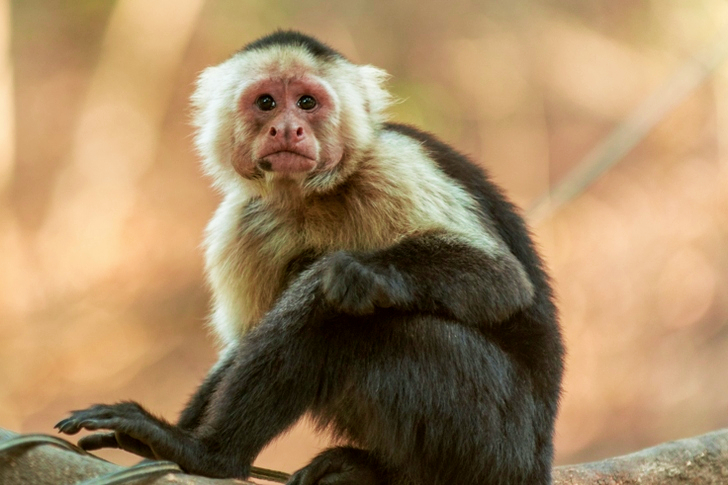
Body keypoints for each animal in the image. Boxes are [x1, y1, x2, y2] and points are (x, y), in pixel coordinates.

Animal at [56, 31, 564, 485]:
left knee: (366, 317)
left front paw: (362, 272)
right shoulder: (242, 221)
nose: (287, 128)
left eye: (306, 103)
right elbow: (242, 342)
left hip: (501, 444)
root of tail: (537, 460)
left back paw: (211, 455)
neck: (310, 196)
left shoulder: (394, 165)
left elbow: (502, 280)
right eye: (266, 103)